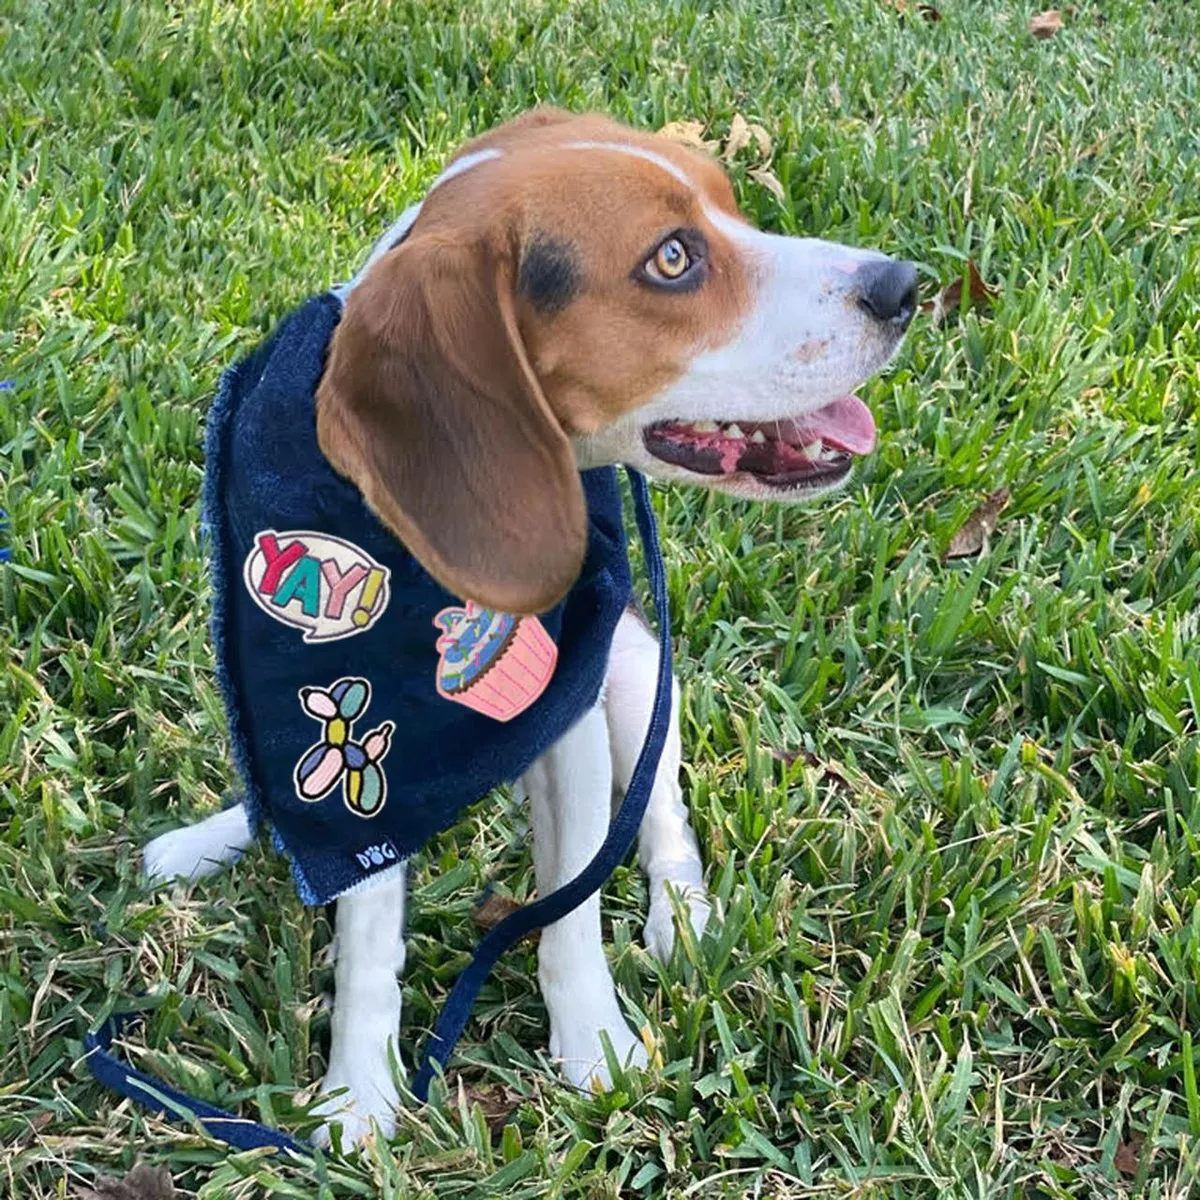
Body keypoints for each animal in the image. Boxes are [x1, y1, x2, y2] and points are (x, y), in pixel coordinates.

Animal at [147, 108, 916, 1147]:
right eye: (673, 258)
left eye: (733, 204)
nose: (906, 287)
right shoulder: (362, 778)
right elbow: (366, 940)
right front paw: (357, 1098)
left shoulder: (571, 725)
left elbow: (571, 911)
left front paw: (595, 1046)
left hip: (635, 665)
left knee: (663, 817)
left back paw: (683, 916)